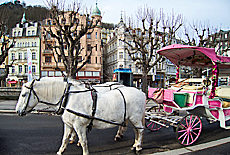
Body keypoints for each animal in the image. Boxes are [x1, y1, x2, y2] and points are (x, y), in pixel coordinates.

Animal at [15, 80, 146, 154]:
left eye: (23, 94)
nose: (18, 111)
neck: (68, 98)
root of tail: (142, 92)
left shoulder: (79, 125)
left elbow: (83, 141)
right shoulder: (69, 124)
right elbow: (65, 139)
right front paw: (60, 151)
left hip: (135, 118)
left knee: (140, 131)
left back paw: (138, 146)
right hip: (132, 119)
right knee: (136, 131)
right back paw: (134, 144)